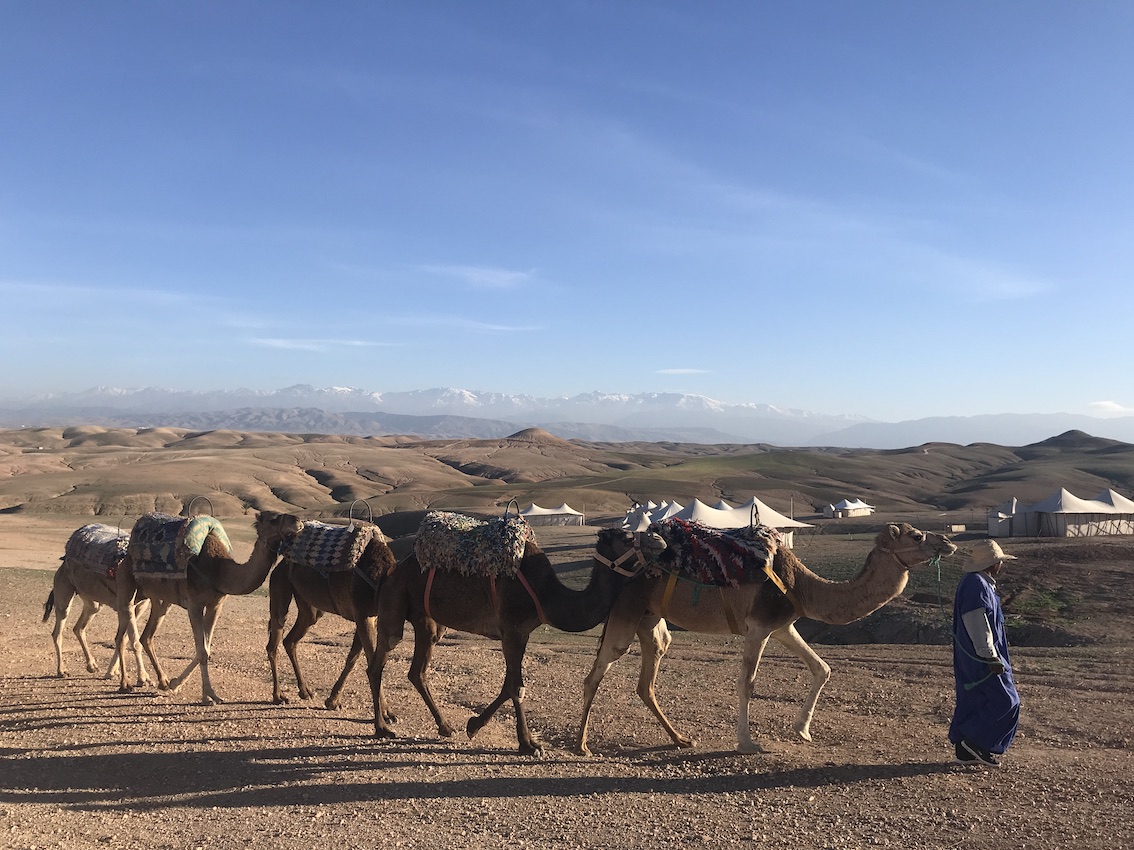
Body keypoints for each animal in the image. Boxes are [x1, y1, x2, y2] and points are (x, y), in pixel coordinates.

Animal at [43, 523, 162, 684]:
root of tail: (63, 561)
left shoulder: (140, 606)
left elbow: (123, 638)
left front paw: (112, 672)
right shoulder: (126, 605)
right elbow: (134, 641)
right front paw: (144, 677)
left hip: (92, 601)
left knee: (79, 627)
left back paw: (92, 666)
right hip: (63, 590)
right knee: (58, 630)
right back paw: (62, 670)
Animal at [115, 512, 303, 707]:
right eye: (273, 519)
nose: (297, 521)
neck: (219, 570)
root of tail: (126, 554)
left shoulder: (216, 605)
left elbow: (205, 648)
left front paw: (177, 684)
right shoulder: (194, 604)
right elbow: (202, 650)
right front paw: (209, 695)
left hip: (159, 599)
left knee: (146, 636)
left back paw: (163, 681)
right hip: (127, 584)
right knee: (123, 629)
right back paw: (125, 684)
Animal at [369, 519, 662, 757]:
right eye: (627, 537)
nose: (660, 539)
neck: (547, 595)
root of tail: (394, 569)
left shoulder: (520, 634)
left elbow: (509, 685)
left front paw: (473, 725)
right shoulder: (512, 629)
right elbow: (516, 687)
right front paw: (528, 745)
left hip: (426, 620)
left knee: (417, 671)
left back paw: (445, 727)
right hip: (396, 599)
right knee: (379, 661)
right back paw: (382, 727)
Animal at [576, 523, 957, 757]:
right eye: (917, 536)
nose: (948, 542)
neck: (802, 586)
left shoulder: (783, 626)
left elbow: (822, 669)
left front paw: (802, 731)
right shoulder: (758, 625)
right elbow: (747, 683)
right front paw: (746, 743)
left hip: (650, 620)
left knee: (647, 678)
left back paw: (680, 738)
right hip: (625, 612)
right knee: (594, 674)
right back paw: (581, 746)